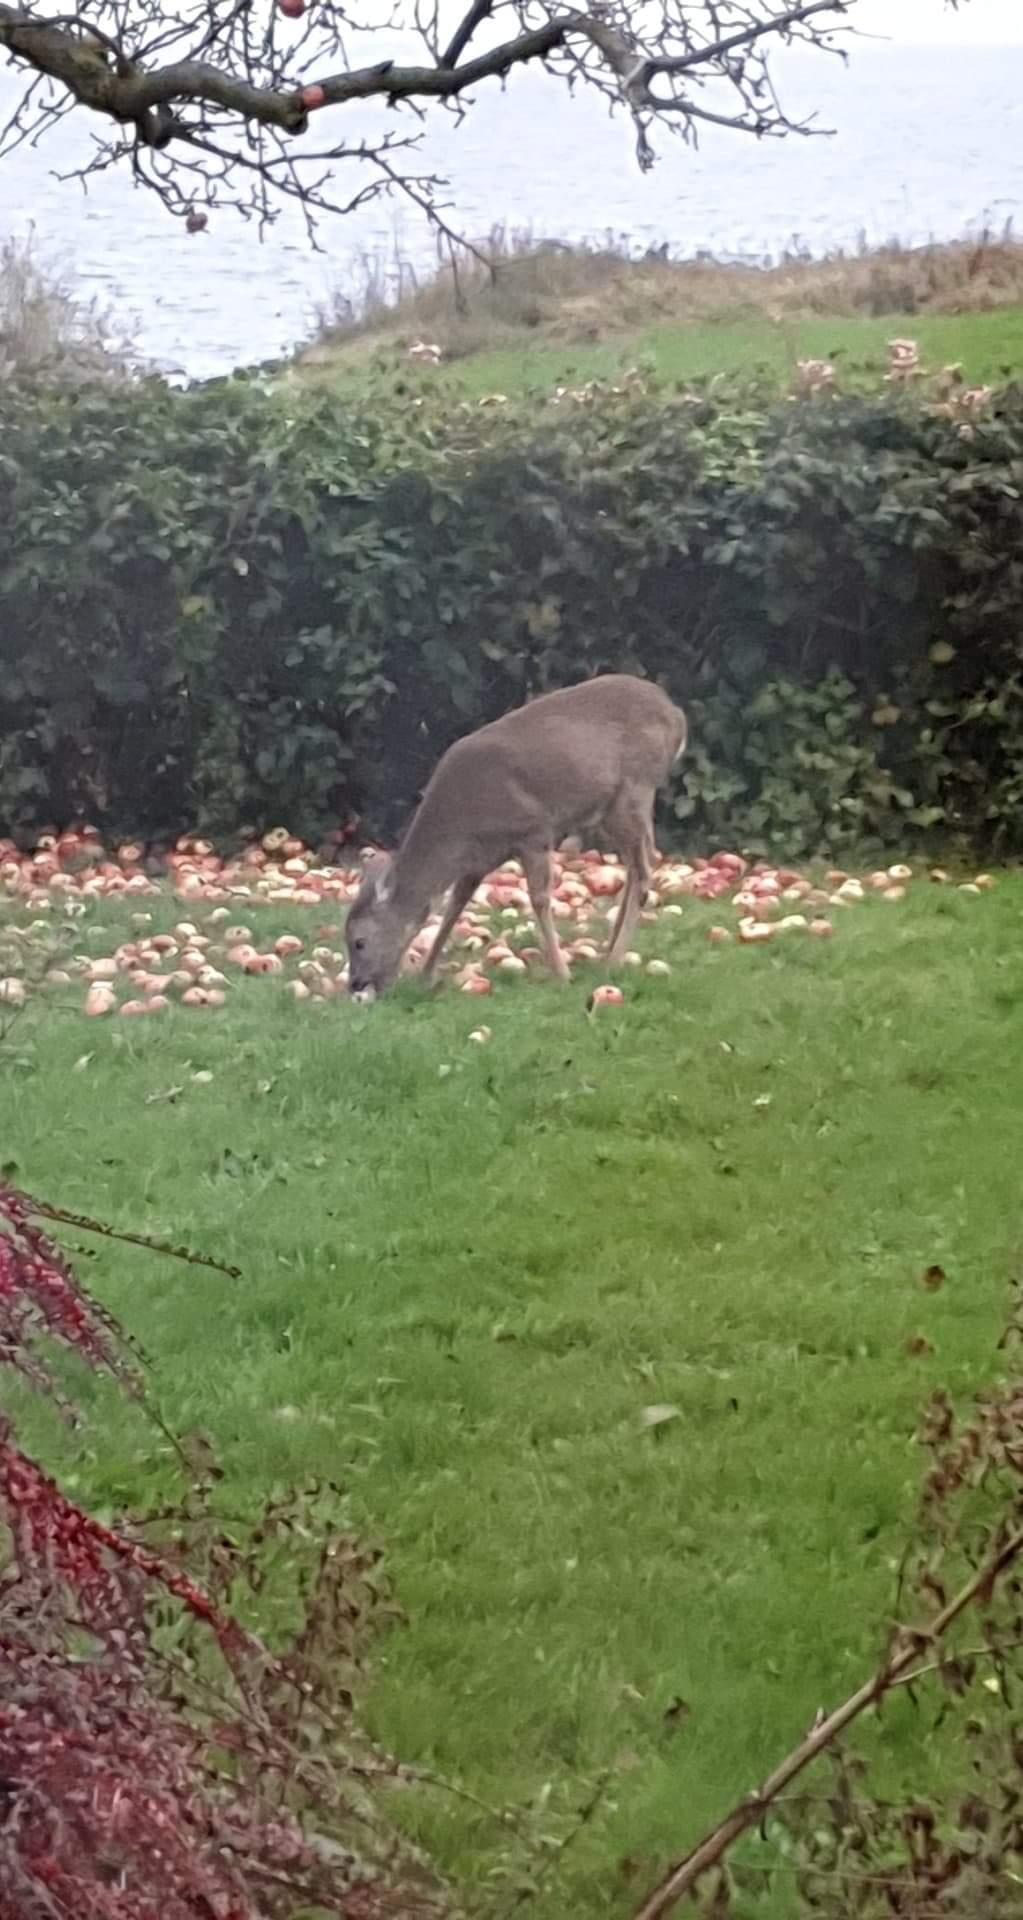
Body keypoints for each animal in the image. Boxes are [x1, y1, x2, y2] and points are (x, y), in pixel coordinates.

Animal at [343, 675, 687, 1006]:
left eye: (359, 942)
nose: (355, 984)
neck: (462, 823)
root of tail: (676, 715)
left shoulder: (533, 831)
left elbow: (539, 899)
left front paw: (561, 974)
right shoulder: (479, 859)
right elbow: (455, 906)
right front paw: (425, 976)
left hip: (634, 789)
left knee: (644, 868)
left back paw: (612, 961)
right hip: (609, 809)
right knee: (639, 863)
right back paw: (610, 950)